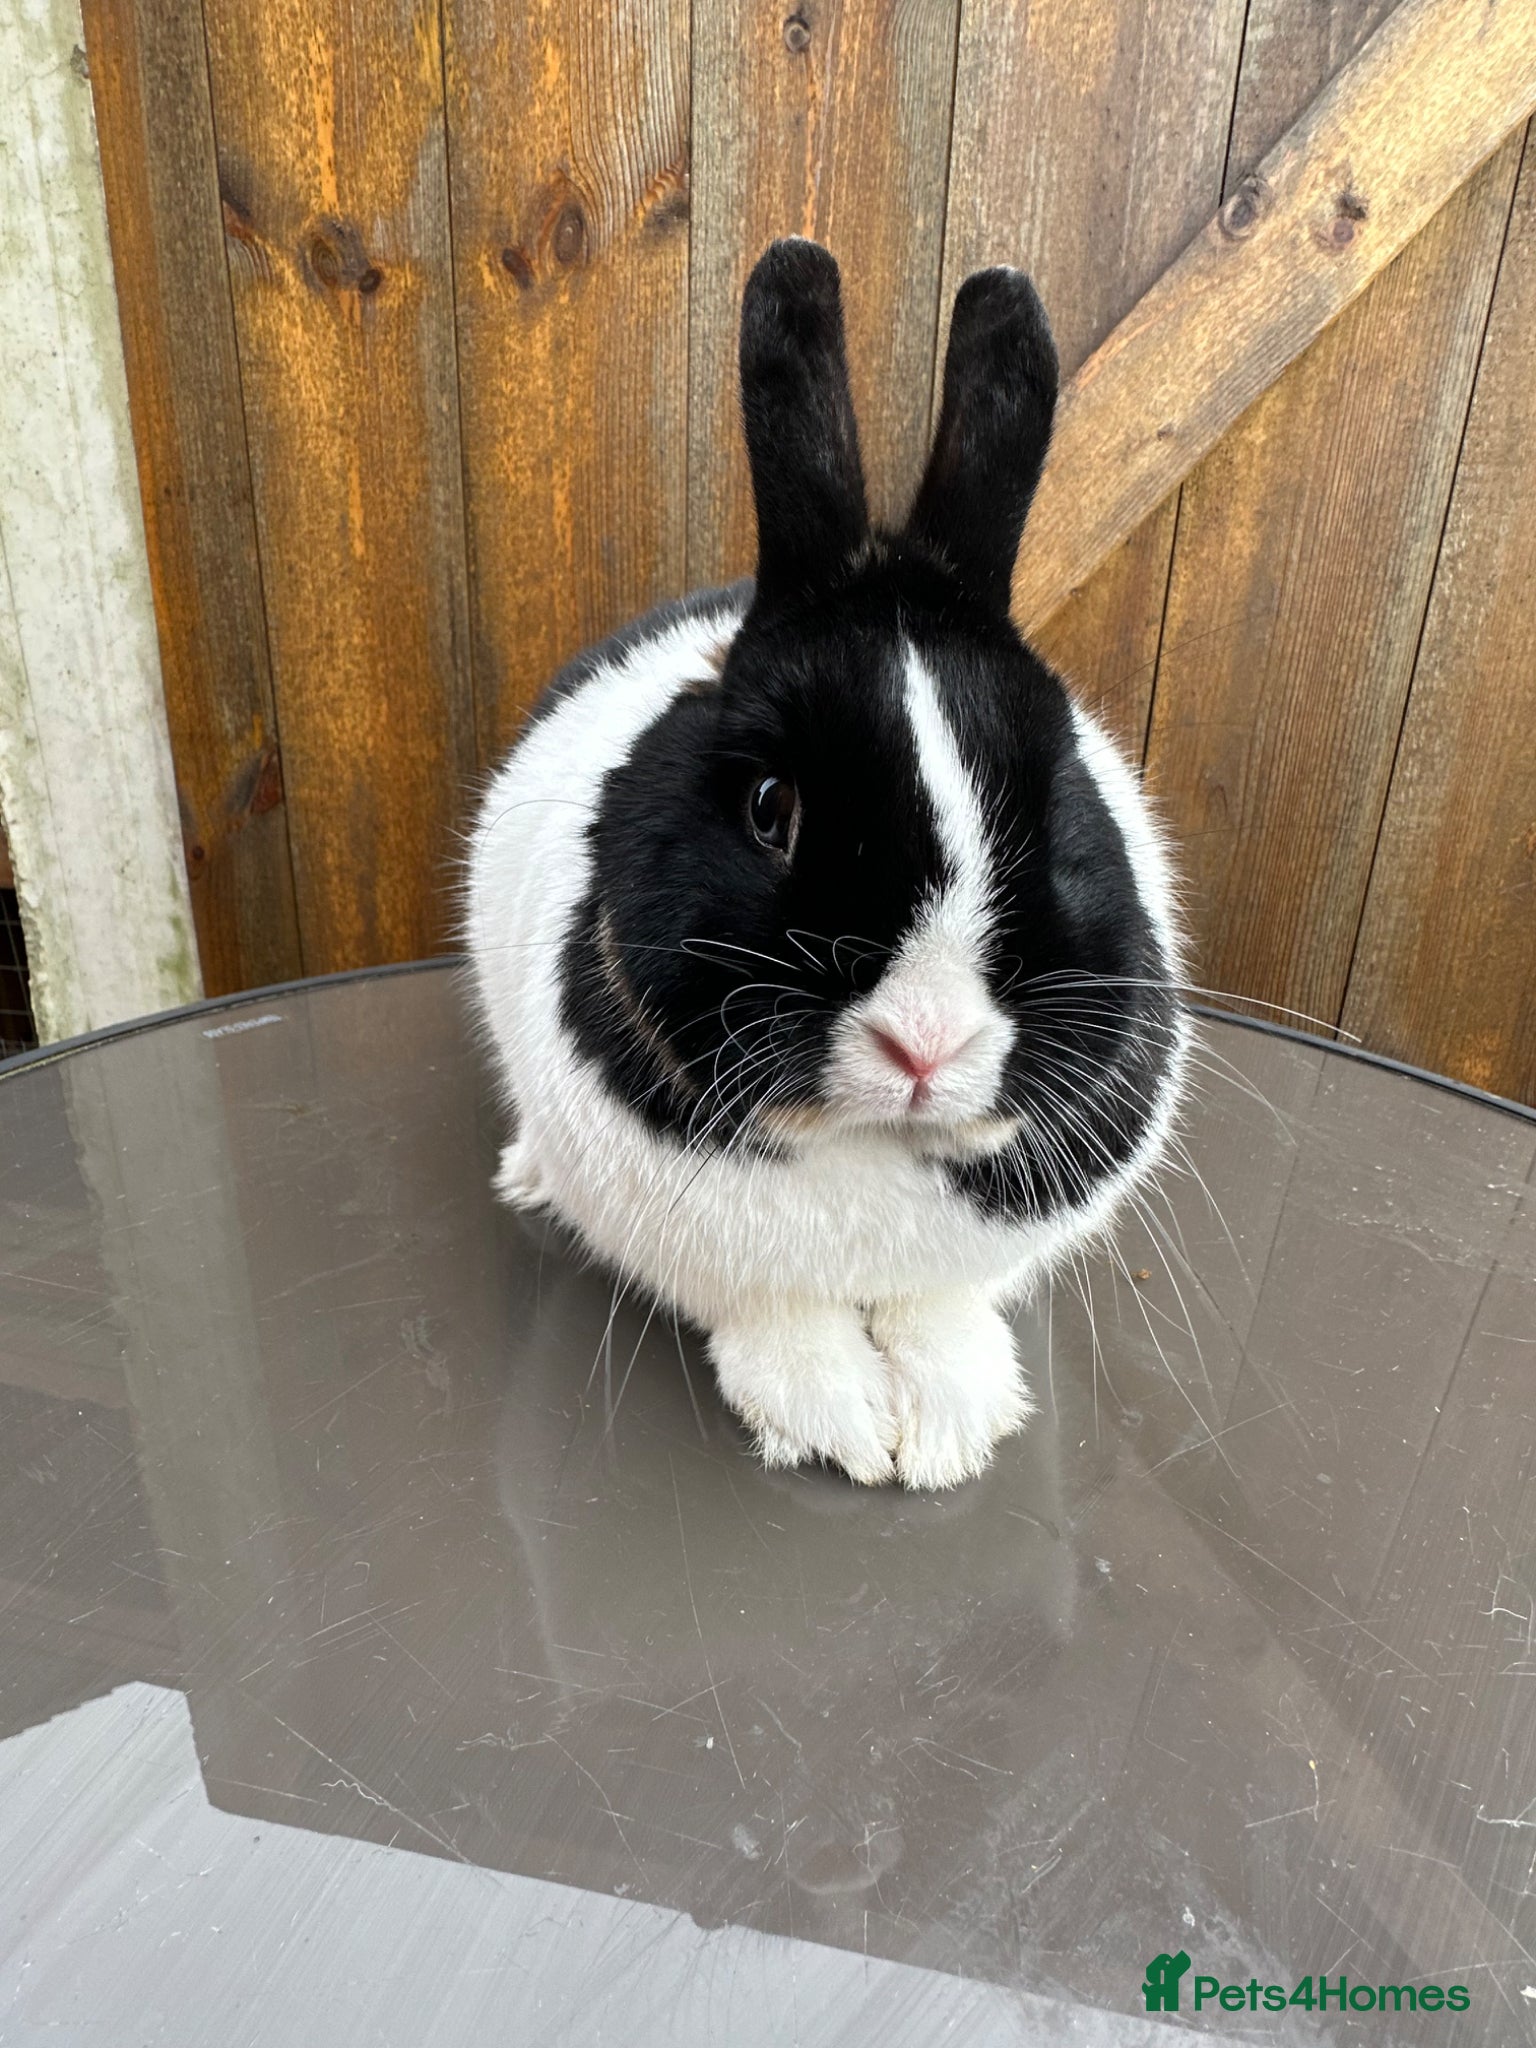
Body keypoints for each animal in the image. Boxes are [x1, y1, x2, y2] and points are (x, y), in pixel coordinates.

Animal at [466, 238, 1187, 1491]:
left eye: (1056, 803)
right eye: (772, 808)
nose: (927, 1043)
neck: (869, 1147)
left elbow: (940, 1312)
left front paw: (950, 1430)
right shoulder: (728, 1269)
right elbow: (779, 1322)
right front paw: (839, 1426)